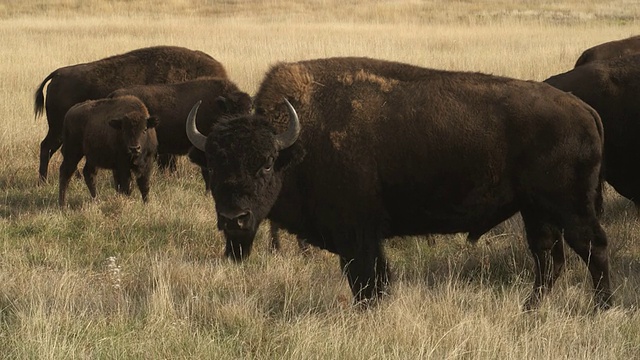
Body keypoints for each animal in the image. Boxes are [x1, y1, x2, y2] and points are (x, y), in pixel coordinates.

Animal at [188, 56, 612, 310]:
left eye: (264, 165)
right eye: (212, 167)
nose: (234, 218)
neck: (298, 143)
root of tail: (583, 108)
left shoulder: (359, 235)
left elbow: (368, 281)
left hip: (570, 206)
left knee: (591, 247)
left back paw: (600, 309)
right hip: (535, 210)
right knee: (547, 257)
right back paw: (530, 309)